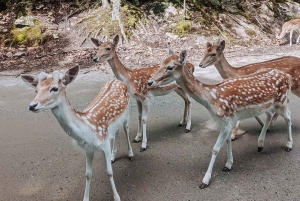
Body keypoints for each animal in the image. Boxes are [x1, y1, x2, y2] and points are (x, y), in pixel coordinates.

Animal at [20, 65, 133, 200]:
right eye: (36, 90)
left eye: (54, 88)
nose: (32, 106)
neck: (88, 128)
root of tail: (117, 80)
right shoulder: (88, 149)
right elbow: (88, 174)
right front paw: (85, 198)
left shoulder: (104, 143)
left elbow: (109, 172)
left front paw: (117, 197)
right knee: (116, 132)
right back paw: (113, 156)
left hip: (127, 113)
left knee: (126, 128)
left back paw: (130, 154)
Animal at [148, 49, 292, 188]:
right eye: (160, 64)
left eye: (170, 67)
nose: (150, 81)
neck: (212, 97)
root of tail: (287, 77)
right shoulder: (226, 121)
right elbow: (228, 141)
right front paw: (228, 164)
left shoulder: (226, 120)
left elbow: (215, 149)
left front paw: (205, 180)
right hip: (268, 105)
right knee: (270, 115)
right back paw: (260, 144)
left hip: (282, 101)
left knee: (288, 117)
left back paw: (288, 145)